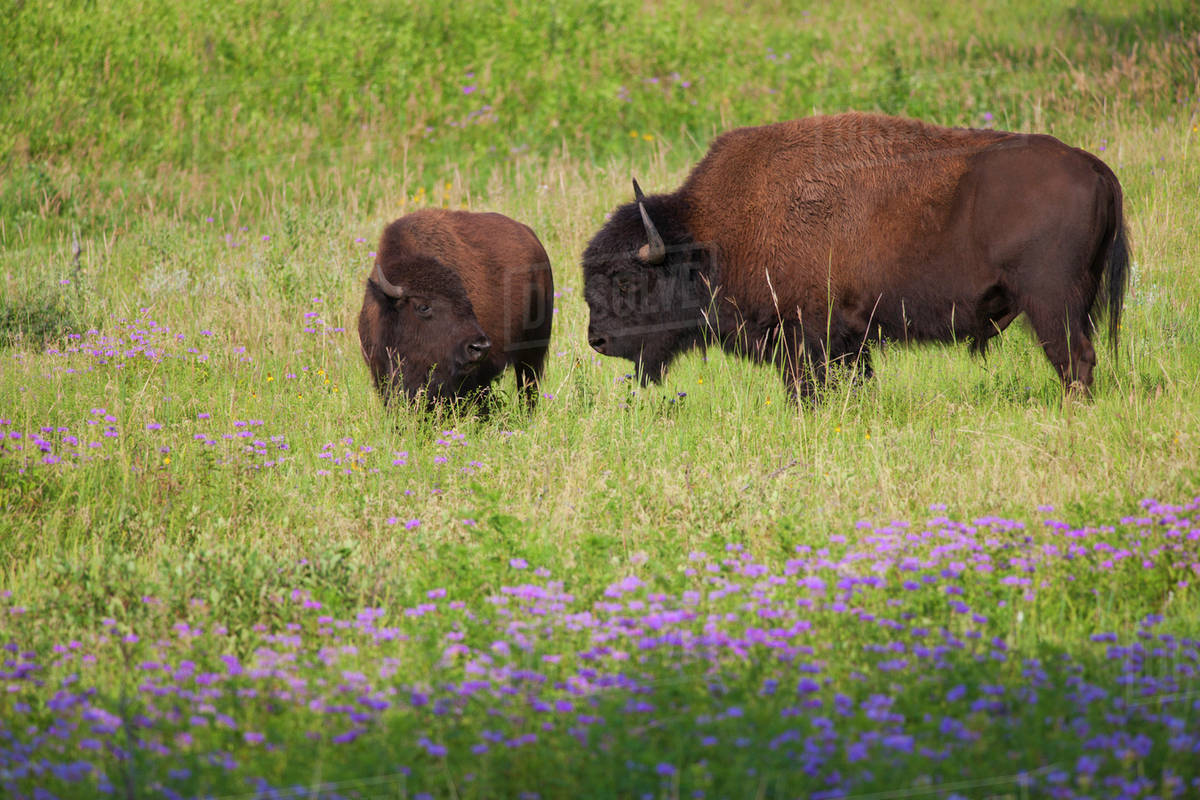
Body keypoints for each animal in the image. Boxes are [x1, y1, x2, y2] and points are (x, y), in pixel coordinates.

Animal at [582, 112, 1129, 400]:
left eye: (626, 280)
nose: (597, 340)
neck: (711, 235)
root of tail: (1094, 167)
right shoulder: (849, 339)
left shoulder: (806, 334)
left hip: (1050, 303)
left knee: (1074, 358)